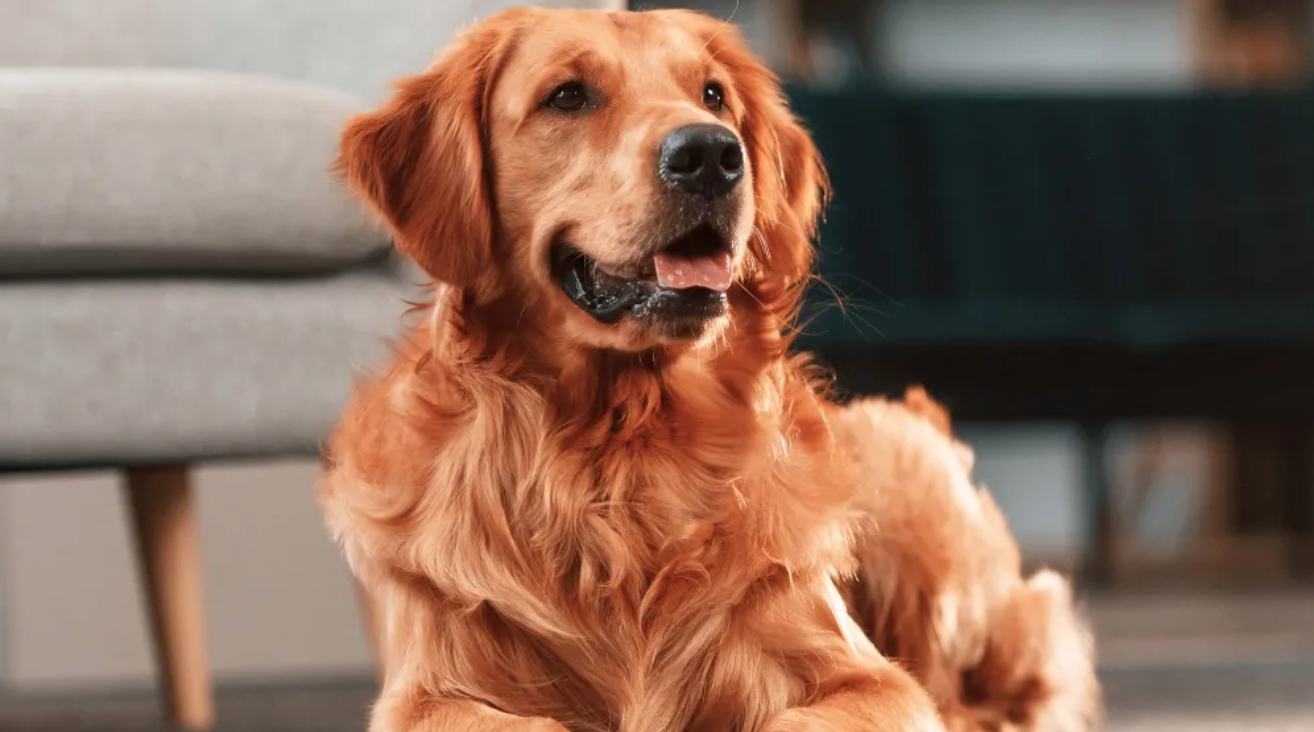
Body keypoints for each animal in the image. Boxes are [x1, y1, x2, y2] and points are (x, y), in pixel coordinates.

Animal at [317, 7, 1098, 730]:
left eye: (713, 94)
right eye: (567, 96)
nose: (710, 155)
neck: (620, 451)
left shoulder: (870, 678)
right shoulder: (428, 691)